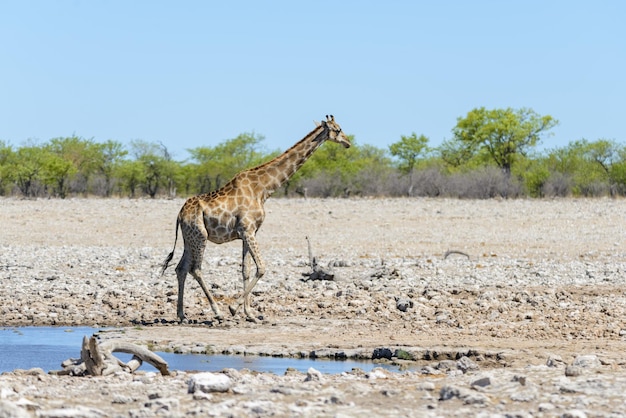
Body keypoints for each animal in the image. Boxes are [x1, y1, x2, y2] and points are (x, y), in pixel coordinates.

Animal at [161, 116, 348, 322]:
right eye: (338, 130)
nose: (348, 142)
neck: (263, 190)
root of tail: (180, 214)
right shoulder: (248, 229)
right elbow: (261, 267)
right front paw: (234, 308)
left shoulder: (247, 232)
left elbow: (246, 270)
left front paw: (249, 313)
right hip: (200, 236)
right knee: (195, 269)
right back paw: (217, 312)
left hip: (189, 238)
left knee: (181, 268)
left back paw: (182, 315)